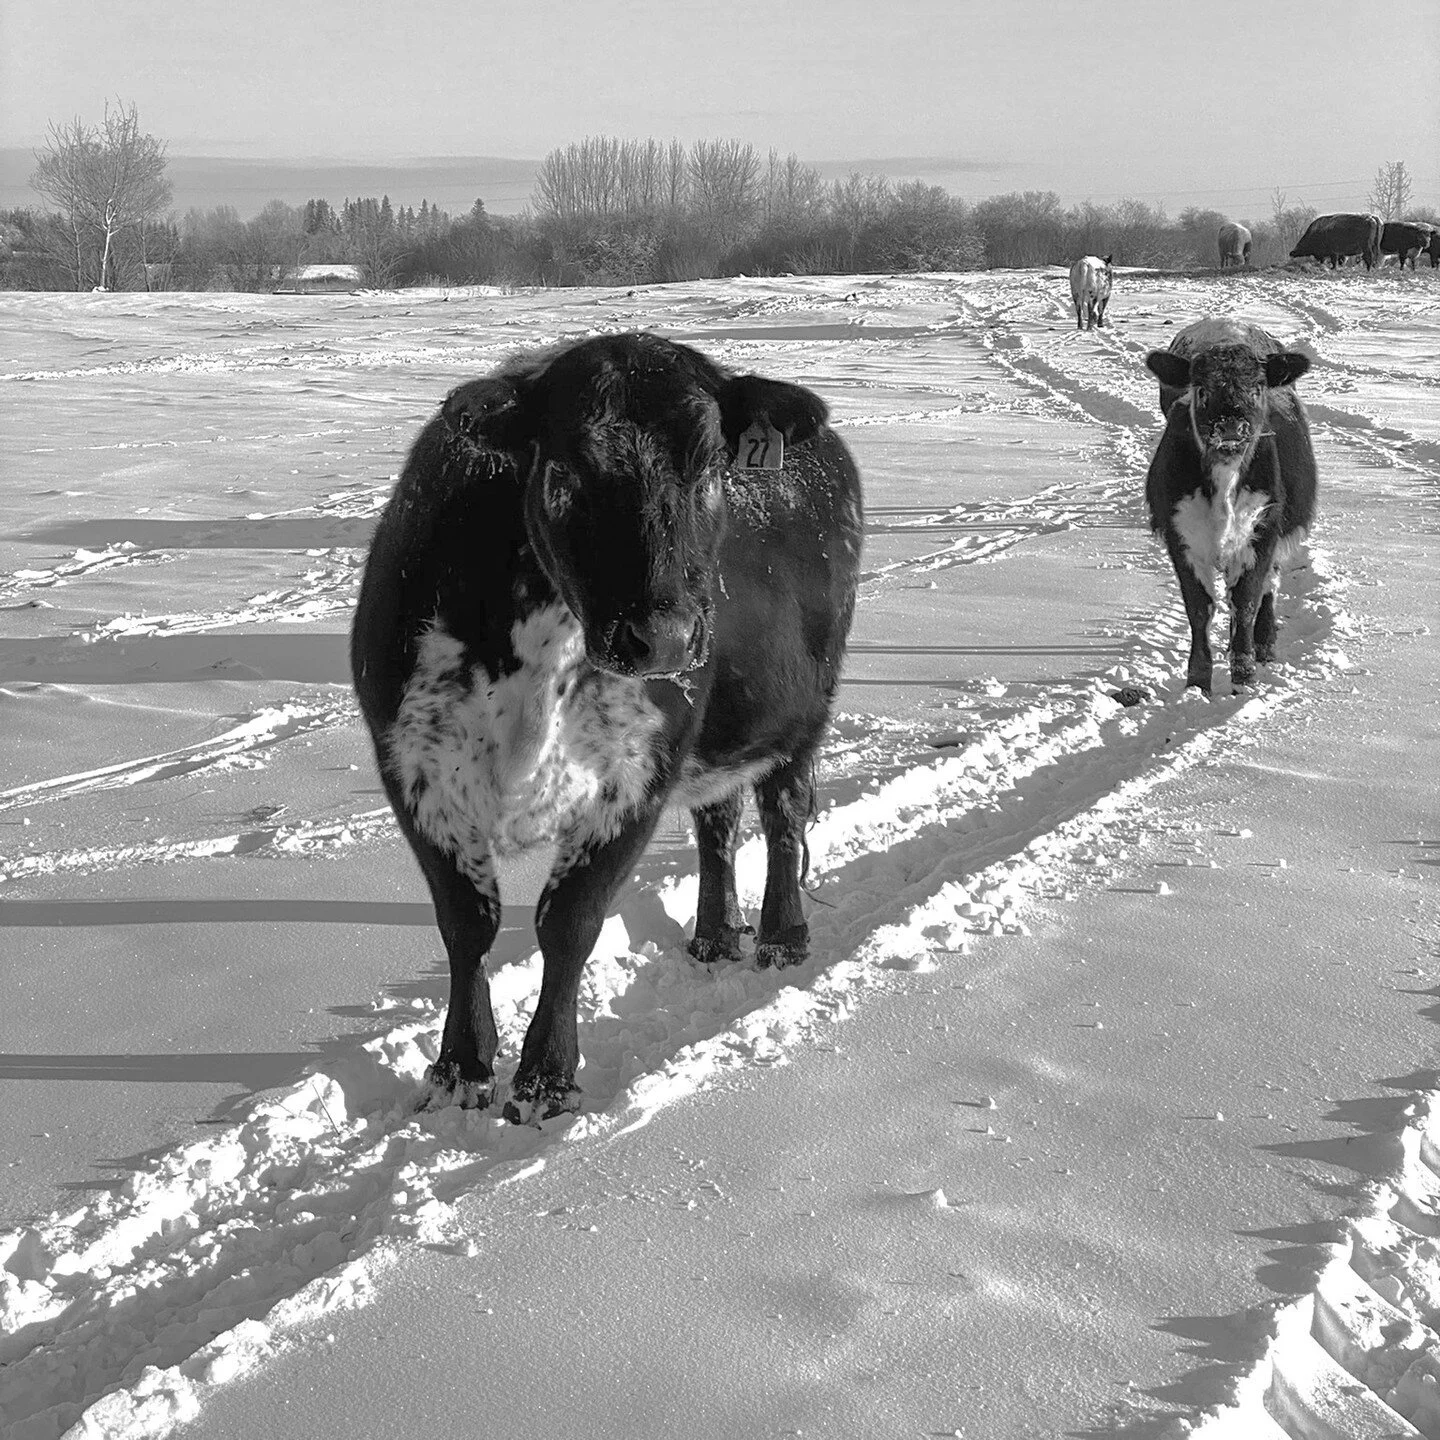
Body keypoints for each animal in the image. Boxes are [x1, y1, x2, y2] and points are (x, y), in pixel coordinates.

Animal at [350, 332, 864, 1122]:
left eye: (711, 463)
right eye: (567, 468)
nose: (665, 638)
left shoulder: (637, 774)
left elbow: (569, 921)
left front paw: (544, 1081)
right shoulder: (413, 766)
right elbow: (467, 922)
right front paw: (460, 1070)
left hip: (806, 711)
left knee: (783, 814)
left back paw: (782, 937)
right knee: (719, 823)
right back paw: (715, 936)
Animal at [1143, 331, 1317, 695]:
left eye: (1257, 388)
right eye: (1201, 389)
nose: (1231, 427)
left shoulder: (1262, 531)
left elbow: (1246, 600)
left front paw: (1244, 675)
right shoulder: (1182, 538)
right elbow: (1199, 607)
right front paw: (1197, 682)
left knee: (1269, 586)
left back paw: (1264, 644)